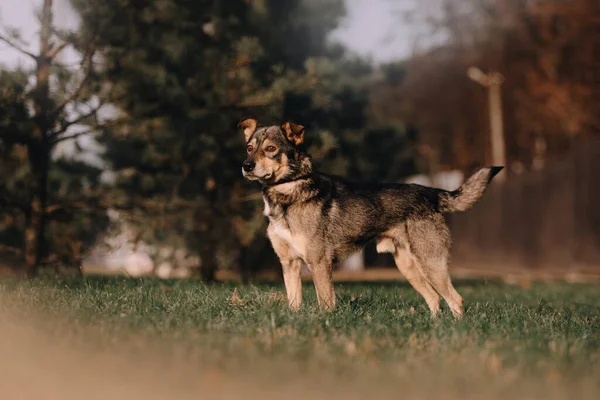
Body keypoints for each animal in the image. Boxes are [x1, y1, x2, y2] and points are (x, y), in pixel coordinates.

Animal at [239, 117, 502, 318]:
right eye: (250, 148)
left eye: (271, 149)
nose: (246, 166)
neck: (287, 192)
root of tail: (431, 192)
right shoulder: (289, 263)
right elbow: (294, 302)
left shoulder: (319, 263)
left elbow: (326, 303)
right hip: (408, 267)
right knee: (435, 300)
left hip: (431, 264)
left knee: (455, 300)